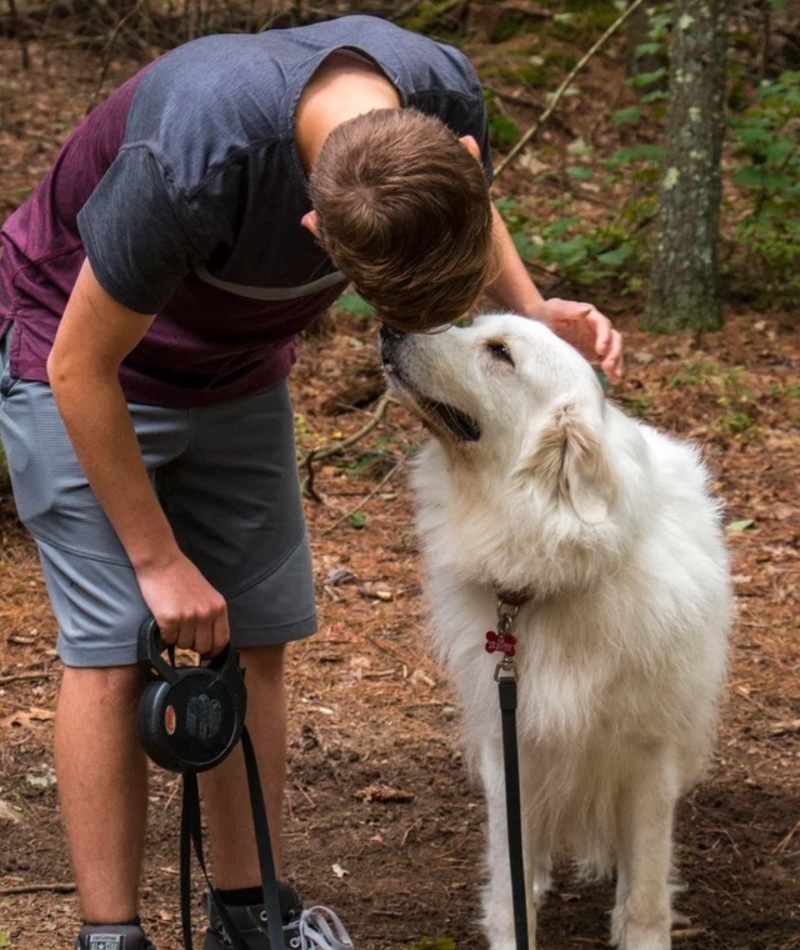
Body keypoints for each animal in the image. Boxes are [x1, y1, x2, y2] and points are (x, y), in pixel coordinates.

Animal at [382, 314, 732, 950]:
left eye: (500, 353)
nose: (391, 328)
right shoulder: (510, 746)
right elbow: (510, 876)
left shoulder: (648, 758)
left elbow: (647, 888)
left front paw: (640, 932)